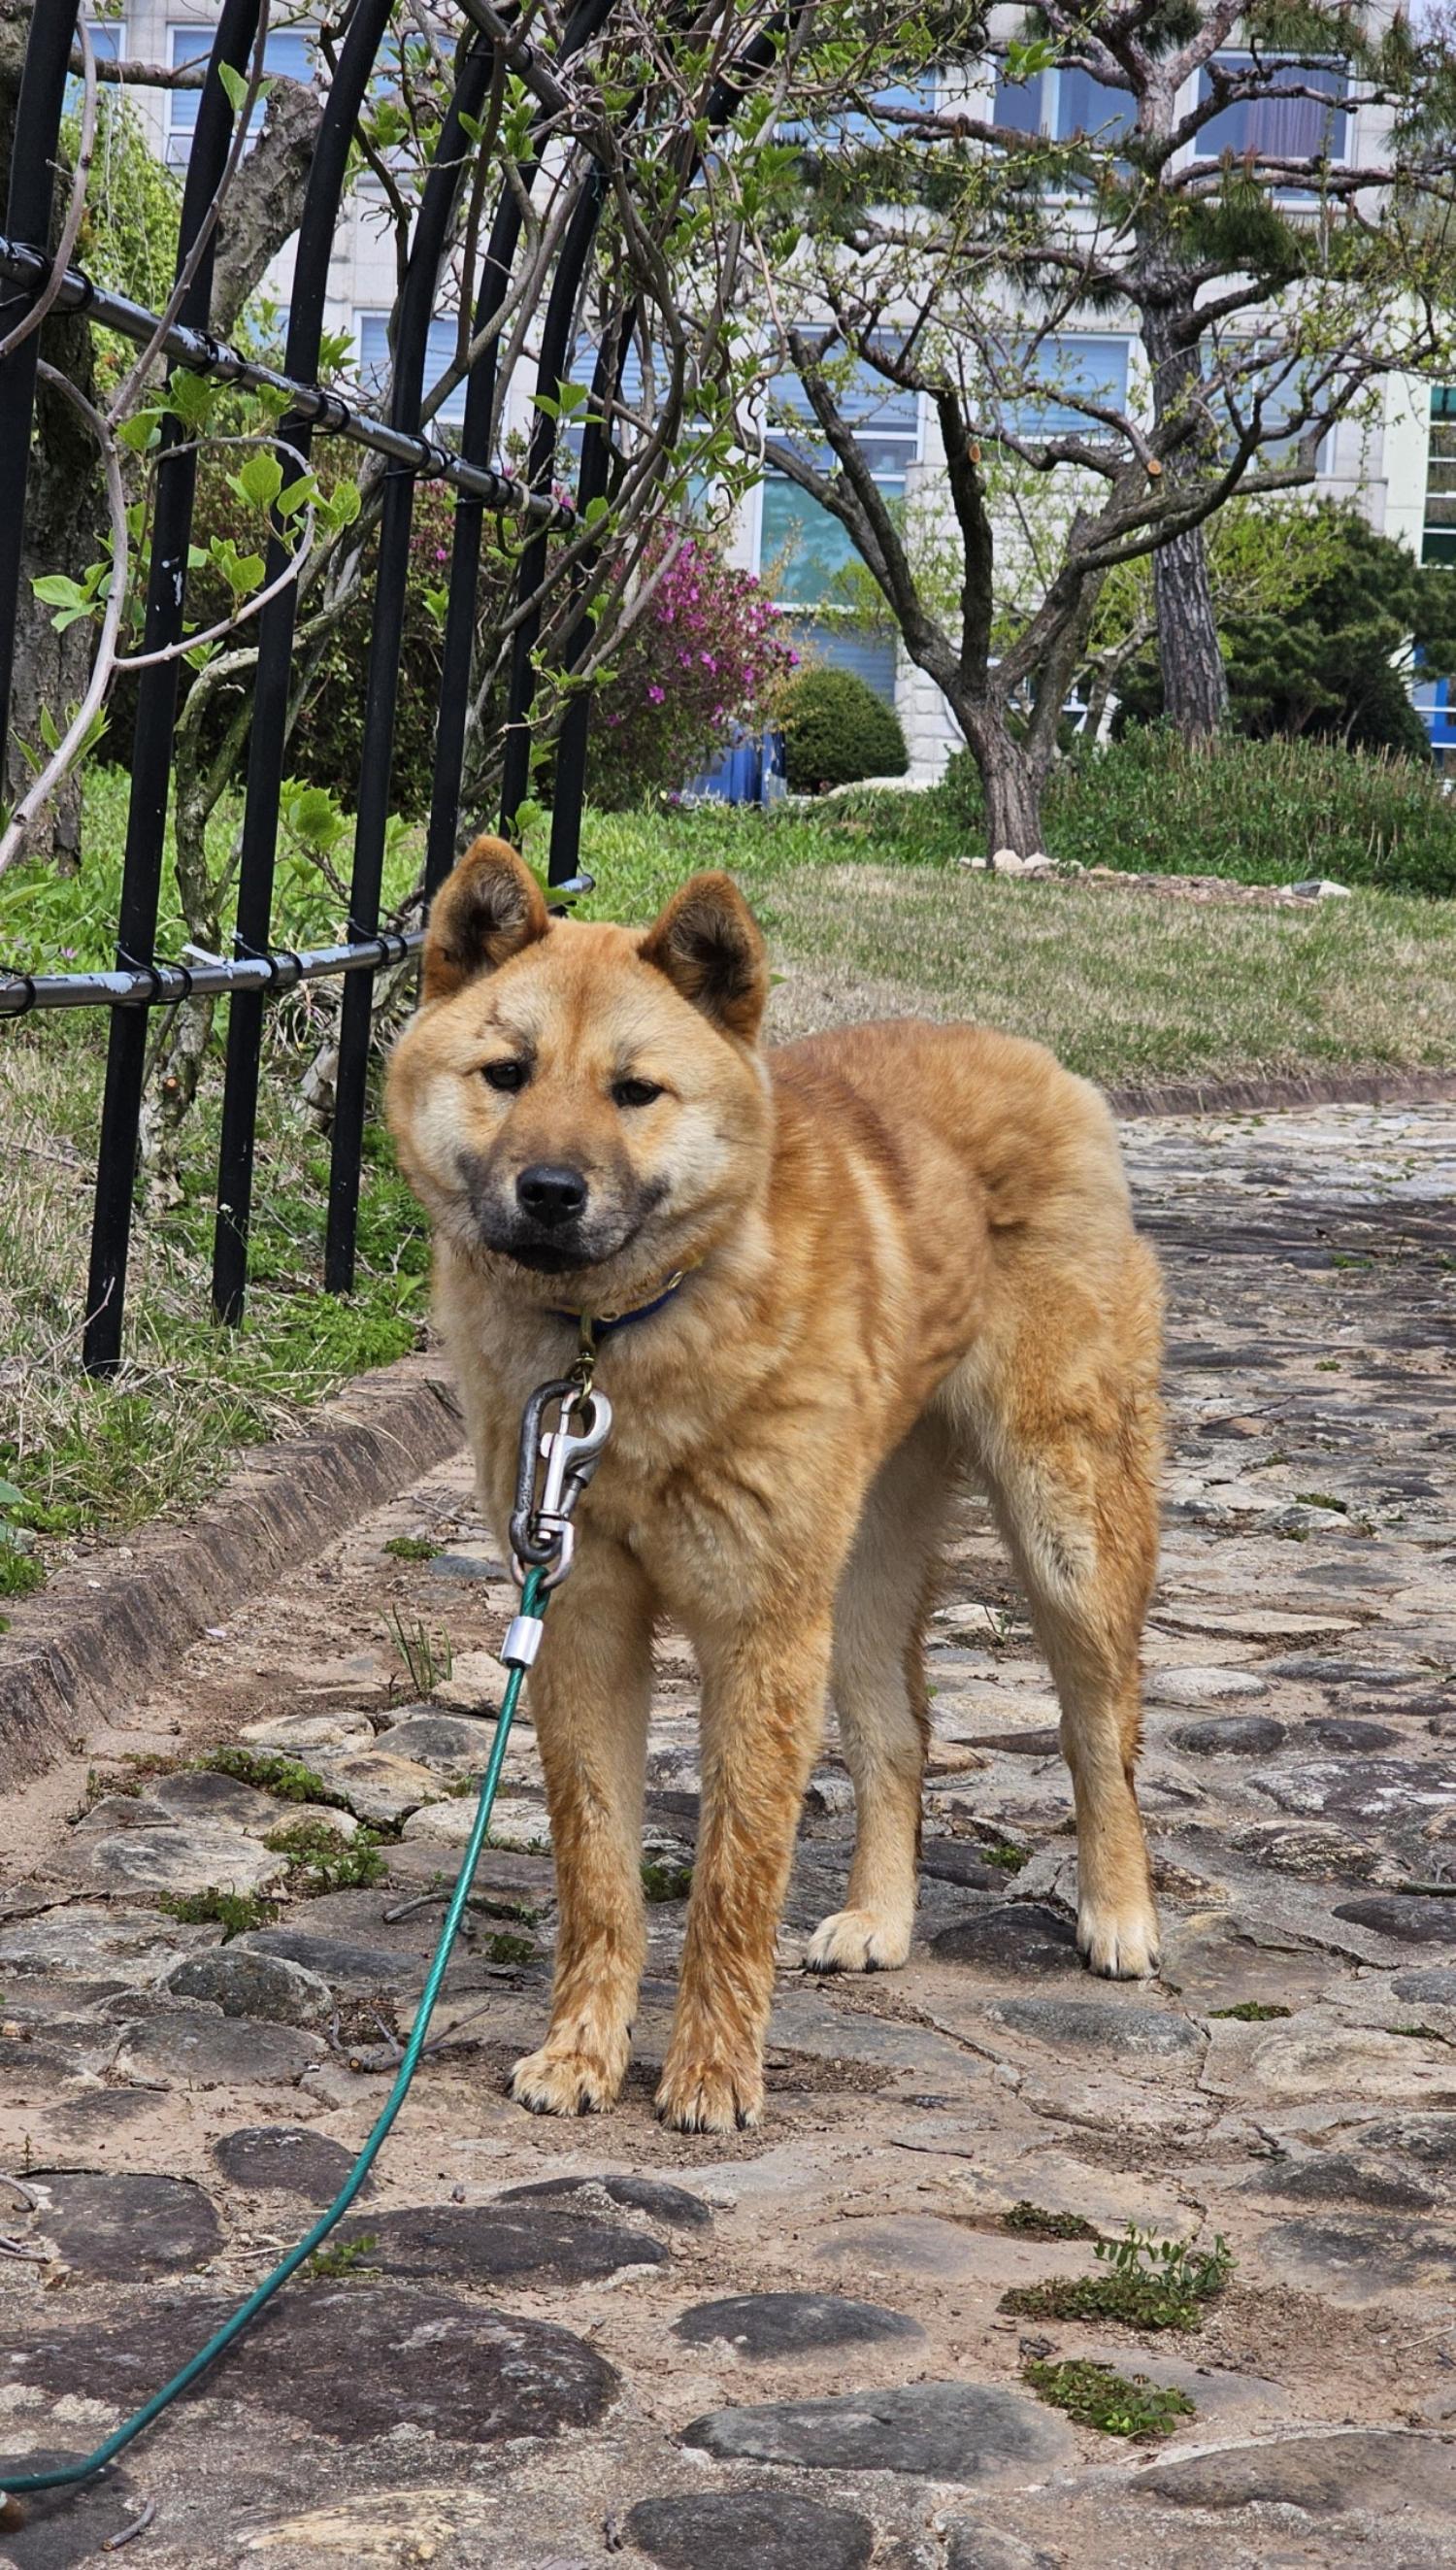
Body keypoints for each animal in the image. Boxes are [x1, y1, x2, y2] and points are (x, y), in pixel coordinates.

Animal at [384, 837, 1160, 2127]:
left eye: (635, 1091)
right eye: (507, 1073)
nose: (548, 1189)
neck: (617, 1346)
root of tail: (1031, 1055)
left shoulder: (755, 1629)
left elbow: (732, 1878)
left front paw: (710, 2069)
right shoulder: (583, 1621)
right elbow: (599, 1873)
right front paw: (582, 2052)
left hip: (1067, 1539)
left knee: (1100, 1732)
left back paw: (1120, 1909)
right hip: (854, 1578)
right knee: (899, 1737)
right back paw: (882, 1917)